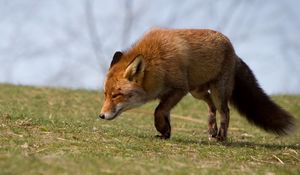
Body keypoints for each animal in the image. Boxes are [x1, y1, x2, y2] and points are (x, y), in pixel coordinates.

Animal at [98, 28, 296, 141]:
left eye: (116, 95)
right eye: (106, 94)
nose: (101, 115)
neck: (157, 61)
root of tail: (233, 49)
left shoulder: (179, 89)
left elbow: (158, 111)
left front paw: (162, 129)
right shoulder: (173, 93)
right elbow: (164, 113)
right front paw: (165, 133)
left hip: (217, 91)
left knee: (225, 111)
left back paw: (221, 137)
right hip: (197, 91)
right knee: (211, 107)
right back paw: (211, 129)